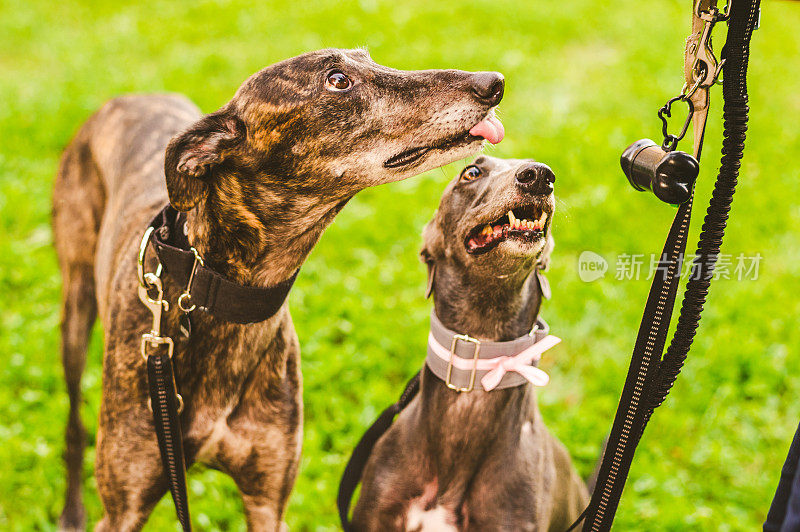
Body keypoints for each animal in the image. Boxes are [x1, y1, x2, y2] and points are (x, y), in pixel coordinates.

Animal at [53, 47, 506, 528]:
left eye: (368, 56)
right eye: (338, 80)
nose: (493, 83)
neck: (219, 294)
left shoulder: (268, 500)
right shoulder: (124, 509)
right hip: (75, 309)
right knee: (74, 424)